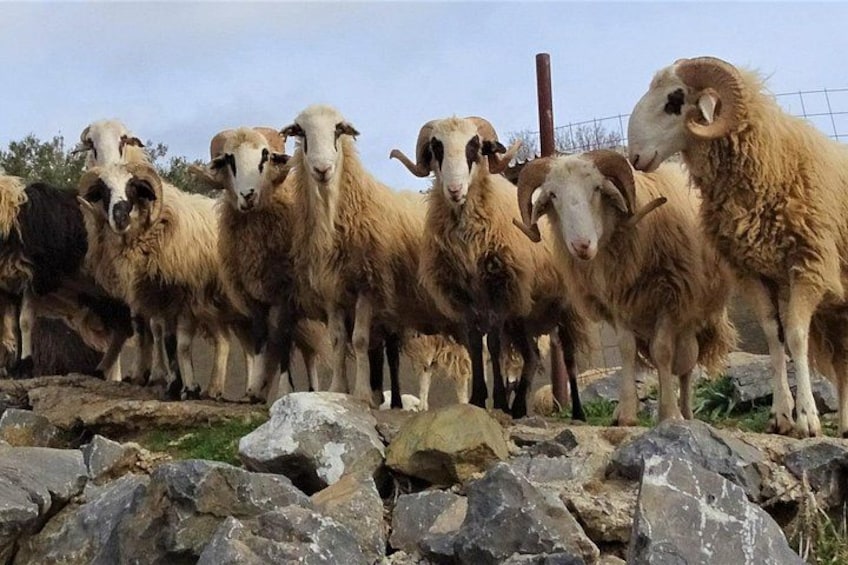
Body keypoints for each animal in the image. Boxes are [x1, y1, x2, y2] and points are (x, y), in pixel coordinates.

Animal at [77, 161, 252, 400]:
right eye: (104, 191)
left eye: (133, 188)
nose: (119, 218)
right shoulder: (158, 298)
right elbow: (164, 339)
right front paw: (174, 385)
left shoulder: (184, 298)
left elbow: (181, 345)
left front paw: (188, 388)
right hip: (217, 307)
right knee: (226, 341)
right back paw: (215, 390)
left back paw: (250, 393)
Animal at [280, 104, 457, 408]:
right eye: (300, 132)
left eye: (338, 130)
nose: (322, 169)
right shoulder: (332, 292)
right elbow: (338, 340)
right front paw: (339, 388)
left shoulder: (368, 286)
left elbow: (360, 340)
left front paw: (362, 394)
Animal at [391, 115, 587, 418]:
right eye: (437, 147)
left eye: (475, 146)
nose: (454, 190)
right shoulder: (465, 299)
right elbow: (474, 345)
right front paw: (477, 399)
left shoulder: (499, 294)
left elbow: (492, 345)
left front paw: (498, 400)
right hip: (523, 319)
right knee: (531, 357)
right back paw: (518, 408)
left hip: (565, 309)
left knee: (569, 359)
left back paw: (577, 411)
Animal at [514, 150, 737, 423]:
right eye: (553, 195)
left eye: (597, 188)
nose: (581, 245)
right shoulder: (618, 303)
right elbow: (627, 350)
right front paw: (627, 413)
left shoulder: (670, 300)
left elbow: (663, 352)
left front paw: (670, 413)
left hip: (691, 316)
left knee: (684, 363)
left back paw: (684, 412)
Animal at [627, 55, 848, 437]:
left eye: (675, 100)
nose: (635, 155)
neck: (773, 164)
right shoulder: (755, 274)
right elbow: (775, 337)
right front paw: (780, 415)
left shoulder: (808, 266)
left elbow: (796, 336)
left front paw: (807, 418)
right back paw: (847, 425)